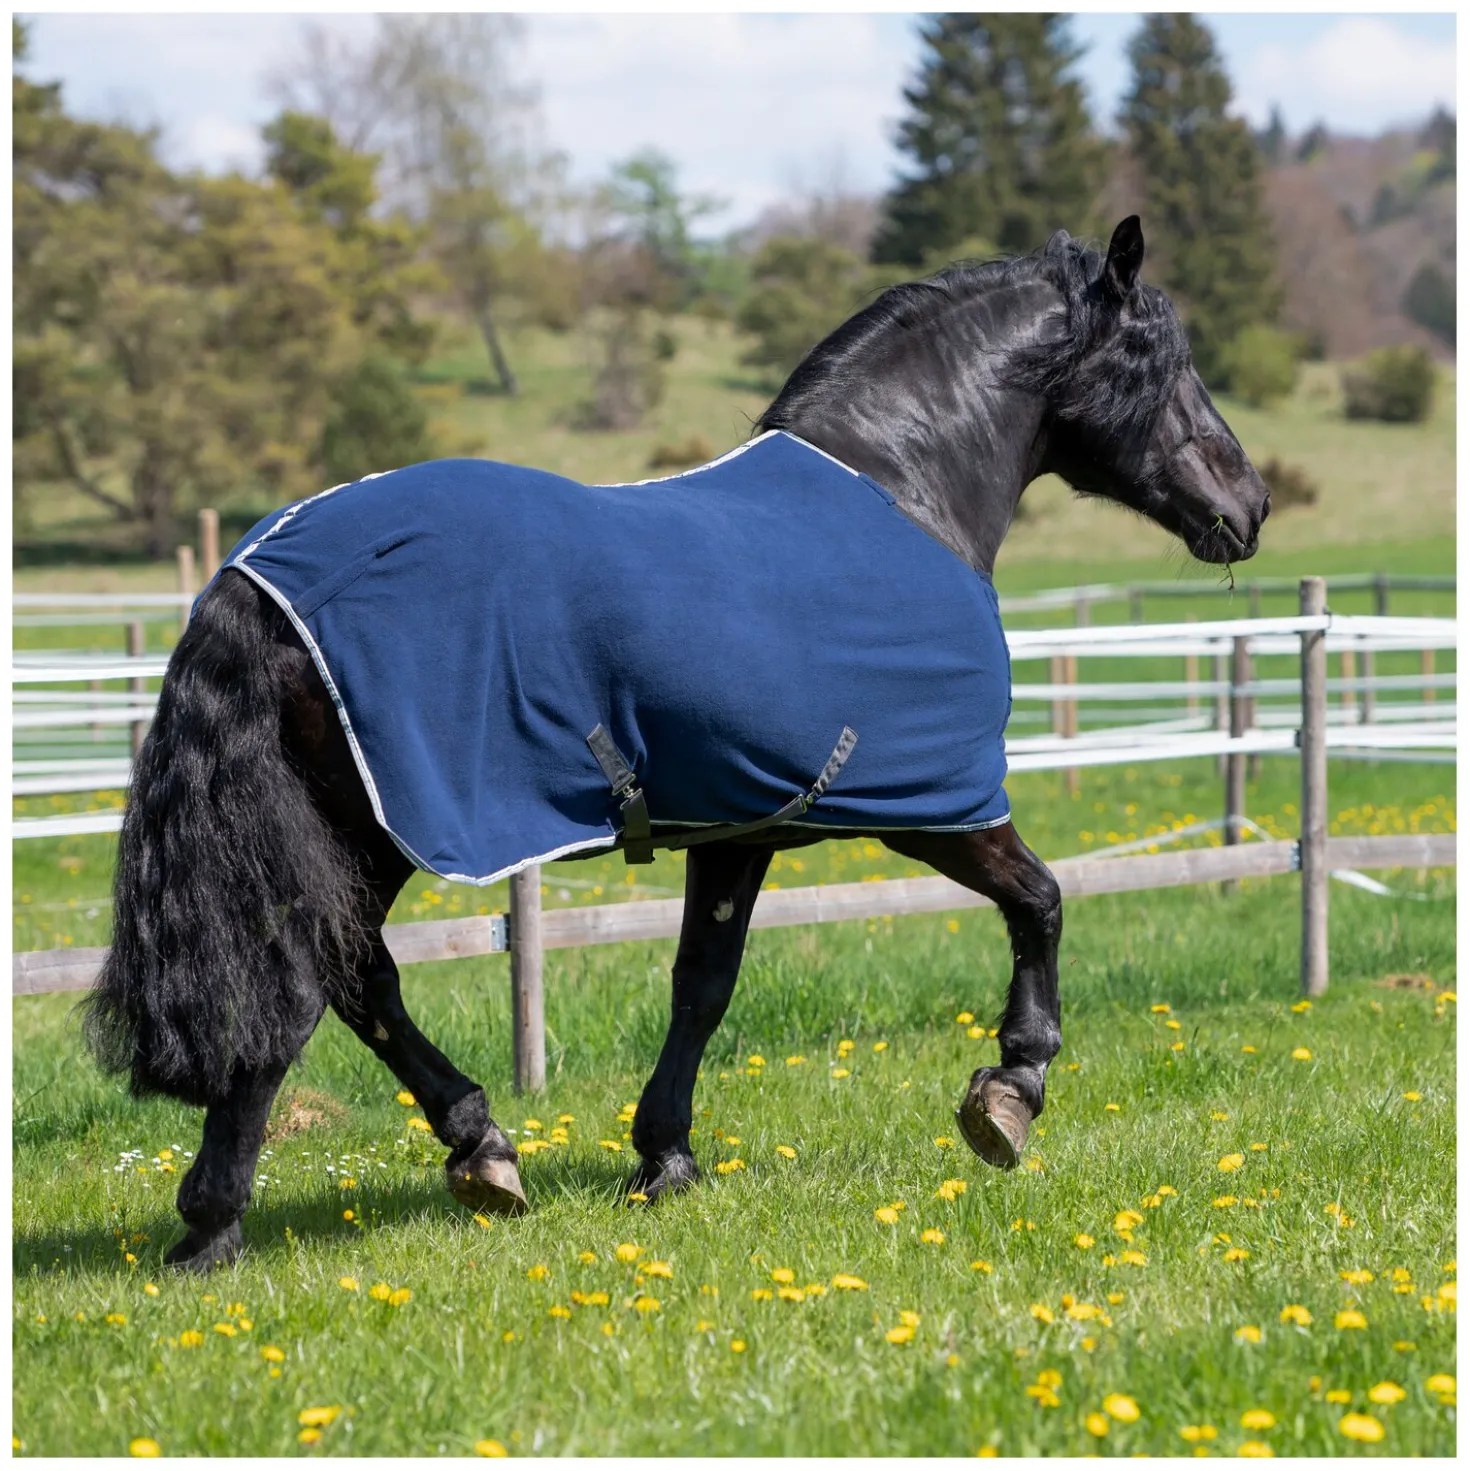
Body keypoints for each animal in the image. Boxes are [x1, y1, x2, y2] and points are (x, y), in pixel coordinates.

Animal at [83, 217, 1269, 1271]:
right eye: (1167, 360)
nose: (1250, 502)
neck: (902, 489)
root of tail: (262, 569)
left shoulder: (741, 826)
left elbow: (703, 981)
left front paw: (664, 1155)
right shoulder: (934, 809)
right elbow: (1042, 902)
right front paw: (1010, 1094)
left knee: (352, 981)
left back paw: (466, 1151)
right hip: (376, 828)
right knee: (312, 985)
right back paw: (225, 1221)